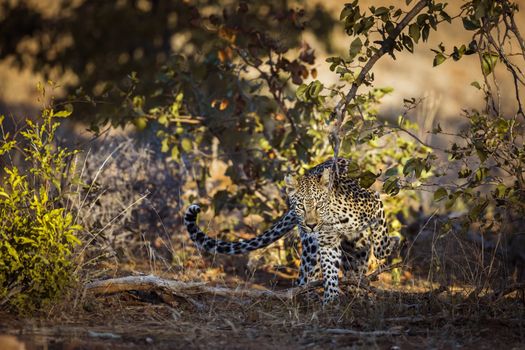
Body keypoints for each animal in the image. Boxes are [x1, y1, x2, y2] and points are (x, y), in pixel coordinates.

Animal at [184, 159, 398, 304]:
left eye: (319, 205)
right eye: (301, 206)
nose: (311, 225)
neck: (332, 217)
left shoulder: (374, 201)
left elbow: (381, 233)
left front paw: (387, 248)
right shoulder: (327, 244)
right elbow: (329, 270)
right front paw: (330, 299)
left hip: (355, 246)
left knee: (359, 259)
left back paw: (358, 292)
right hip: (311, 249)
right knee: (303, 277)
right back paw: (306, 296)